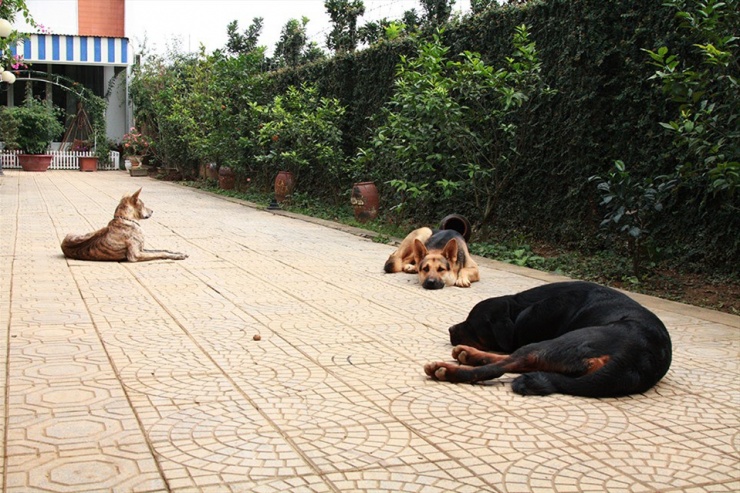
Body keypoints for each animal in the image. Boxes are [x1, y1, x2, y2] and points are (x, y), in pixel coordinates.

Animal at [60, 187, 188, 262]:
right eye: (143, 204)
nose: (152, 211)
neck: (126, 220)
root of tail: (62, 245)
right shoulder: (136, 255)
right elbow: (160, 253)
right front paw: (177, 256)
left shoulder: (142, 248)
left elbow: (161, 250)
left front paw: (177, 253)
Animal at [422, 280, 672, 396]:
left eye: (471, 323)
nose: (451, 329)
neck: (519, 307)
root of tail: (632, 361)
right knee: (517, 363)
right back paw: (468, 355)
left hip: (563, 342)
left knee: (503, 365)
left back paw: (450, 369)